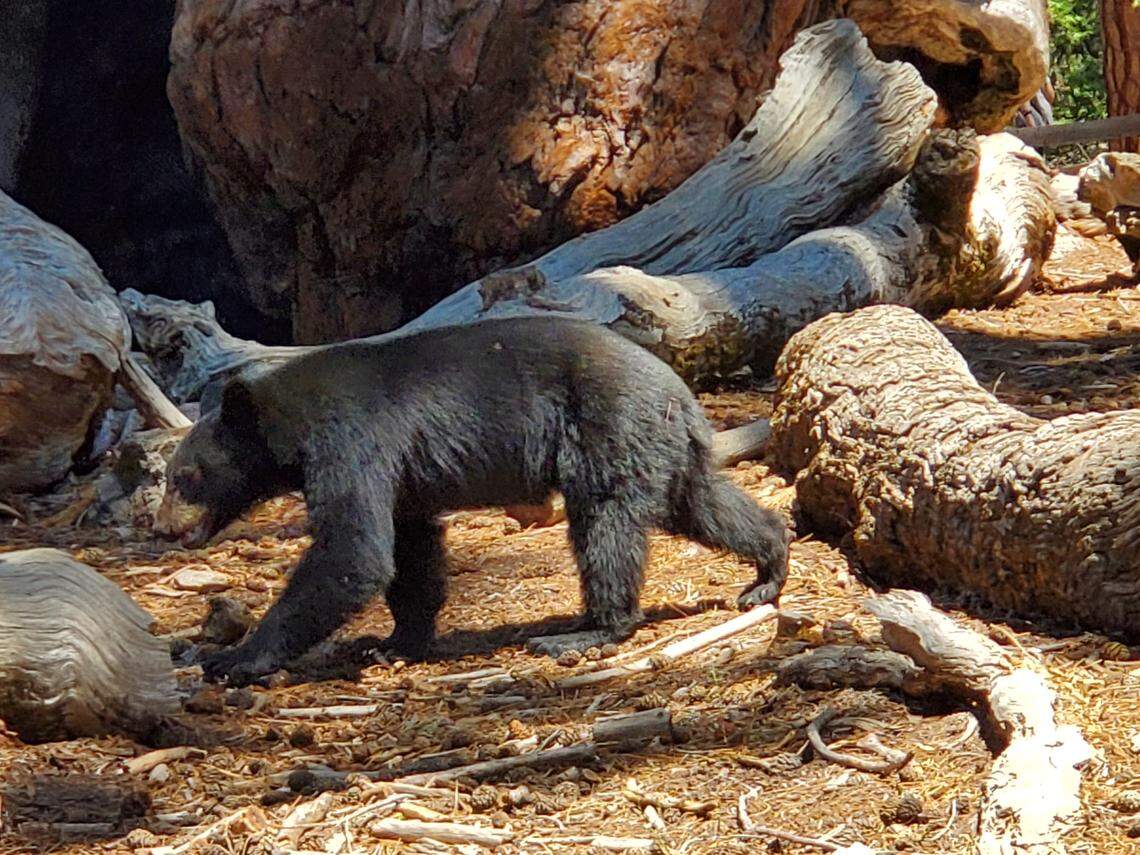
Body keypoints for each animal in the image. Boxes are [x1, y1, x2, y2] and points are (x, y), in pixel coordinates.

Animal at [155, 316, 790, 685]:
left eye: (185, 475)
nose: (160, 528)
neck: (288, 423)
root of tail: (679, 393)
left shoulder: (352, 442)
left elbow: (351, 551)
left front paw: (234, 658)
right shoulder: (403, 478)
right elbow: (409, 549)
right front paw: (392, 642)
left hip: (604, 431)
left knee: (604, 529)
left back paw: (585, 630)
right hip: (659, 448)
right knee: (704, 505)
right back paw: (767, 569)